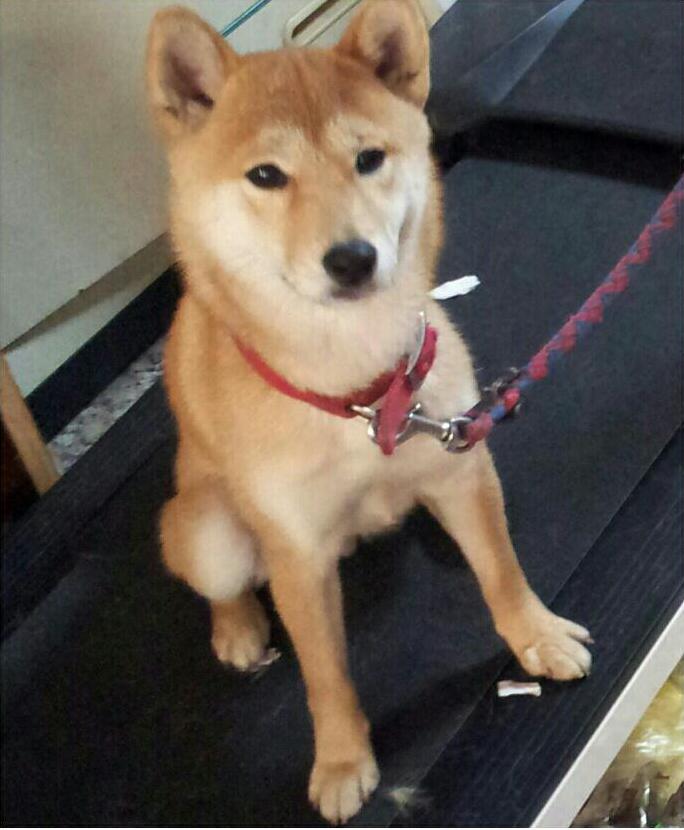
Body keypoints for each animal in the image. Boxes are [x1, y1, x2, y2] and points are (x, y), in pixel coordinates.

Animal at [146, 1, 592, 822]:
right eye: (266, 176)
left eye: (369, 159)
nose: (351, 258)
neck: (355, 391)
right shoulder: (295, 556)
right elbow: (325, 676)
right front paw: (342, 760)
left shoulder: (458, 465)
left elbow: (502, 572)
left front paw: (536, 635)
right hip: (206, 529)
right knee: (219, 581)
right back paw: (239, 627)